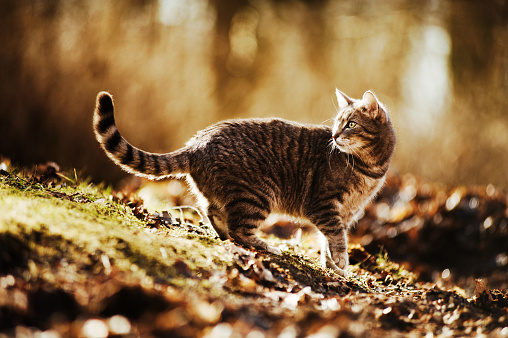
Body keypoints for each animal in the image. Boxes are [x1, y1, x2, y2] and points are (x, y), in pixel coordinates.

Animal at [93, 90, 394, 274]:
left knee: (212, 212)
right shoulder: (325, 206)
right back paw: (265, 245)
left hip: (228, 193)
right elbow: (336, 237)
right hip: (259, 195)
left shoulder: (346, 212)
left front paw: (332, 266)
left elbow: (327, 241)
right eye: (337, 123)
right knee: (239, 228)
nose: (333, 136)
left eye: (351, 124)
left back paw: (223, 234)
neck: (370, 169)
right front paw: (341, 261)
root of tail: (196, 144)